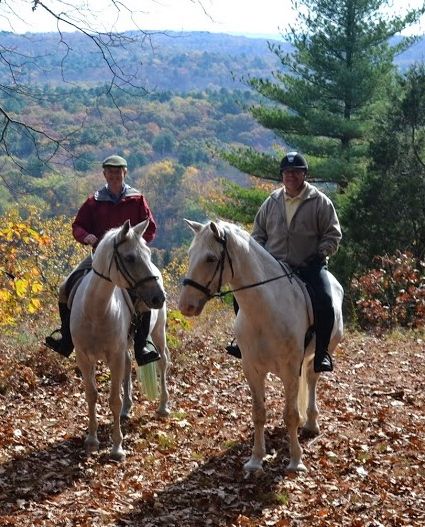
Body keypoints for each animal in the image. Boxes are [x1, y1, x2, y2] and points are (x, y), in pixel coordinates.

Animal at [69, 221, 169, 460]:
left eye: (148, 253)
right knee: (129, 366)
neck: (96, 311)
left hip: (158, 333)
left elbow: (113, 399)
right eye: (130, 258)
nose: (159, 298)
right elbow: (91, 395)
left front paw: (117, 447)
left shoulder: (114, 357)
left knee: (163, 362)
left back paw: (163, 407)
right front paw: (92, 439)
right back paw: (127, 410)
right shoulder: (84, 358)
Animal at [177, 220, 342, 474]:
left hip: (322, 352)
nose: (185, 306)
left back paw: (312, 423)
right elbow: (258, 413)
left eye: (210, 259)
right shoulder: (252, 369)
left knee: (313, 378)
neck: (265, 310)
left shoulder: (289, 370)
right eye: (190, 254)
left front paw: (295, 461)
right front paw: (255, 459)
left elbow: (291, 415)